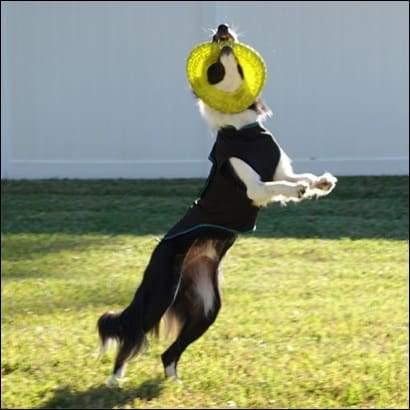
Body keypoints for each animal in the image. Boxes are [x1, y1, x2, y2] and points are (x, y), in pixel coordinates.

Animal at [98, 24, 336, 386]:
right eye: (214, 66)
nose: (221, 29)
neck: (242, 127)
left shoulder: (280, 169)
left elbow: (296, 178)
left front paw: (320, 182)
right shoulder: (254, 186)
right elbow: (277, 186)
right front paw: (302, 188)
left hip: (207, 307)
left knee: (169, 352)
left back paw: (174, 384)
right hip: (160, 294)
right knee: (132, 333)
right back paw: (115, 379)